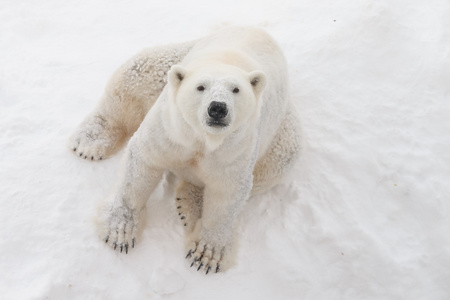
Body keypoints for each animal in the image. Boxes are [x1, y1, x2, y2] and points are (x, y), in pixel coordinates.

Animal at [70, 27, 300, 274]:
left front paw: (207, 254)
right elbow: (143, 161)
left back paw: (190, 203)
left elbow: (228, 190)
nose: (217, 108)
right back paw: (90, 141)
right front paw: (120, 232)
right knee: (137, 73)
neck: (202, 138)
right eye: (200, 87)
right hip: (173, 63)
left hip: (279, 133)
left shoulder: (235, 148)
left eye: (236, 89)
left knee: (281, 160)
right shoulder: (170, 126)